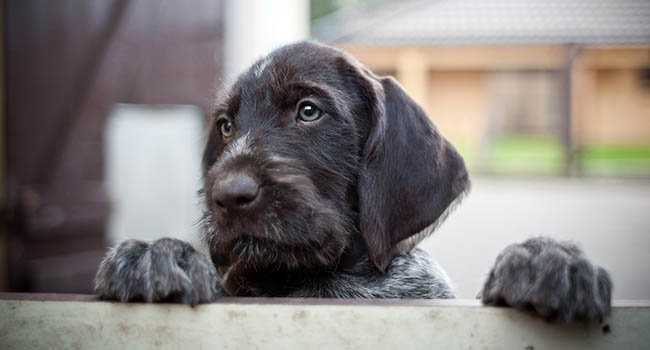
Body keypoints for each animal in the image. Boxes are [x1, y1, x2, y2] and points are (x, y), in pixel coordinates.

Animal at [93, 41, 612, 322]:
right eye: (225, 126)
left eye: (308, 111)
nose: (227, 196)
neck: (316, 280)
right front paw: (158, 253)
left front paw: (544, 262)